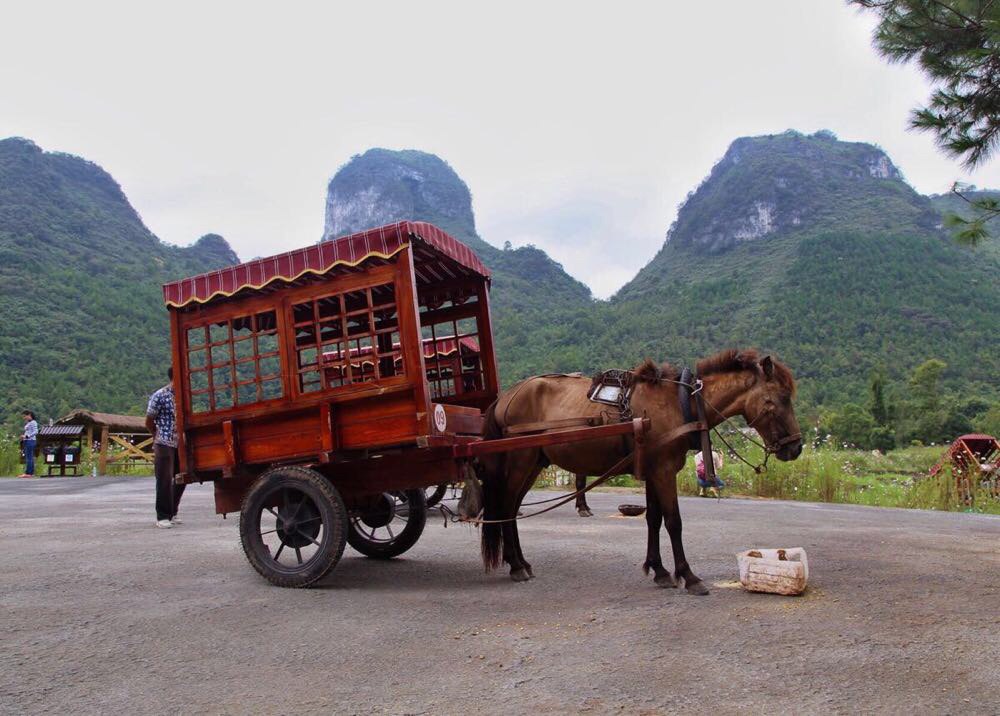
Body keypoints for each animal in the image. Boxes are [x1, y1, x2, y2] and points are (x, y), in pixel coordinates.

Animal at [480, 348, 800, 592]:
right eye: (780, 398)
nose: (795, 448)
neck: (681, 404)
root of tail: (506, 396)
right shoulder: (664, 471)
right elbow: (673, 522)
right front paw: (688, 576)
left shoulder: (654, 471)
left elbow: (653, 520)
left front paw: (659, 570)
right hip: (521, 460)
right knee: (507, 506)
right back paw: (516, 565)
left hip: (534, 463)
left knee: (511, 509)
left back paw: (520, 562)